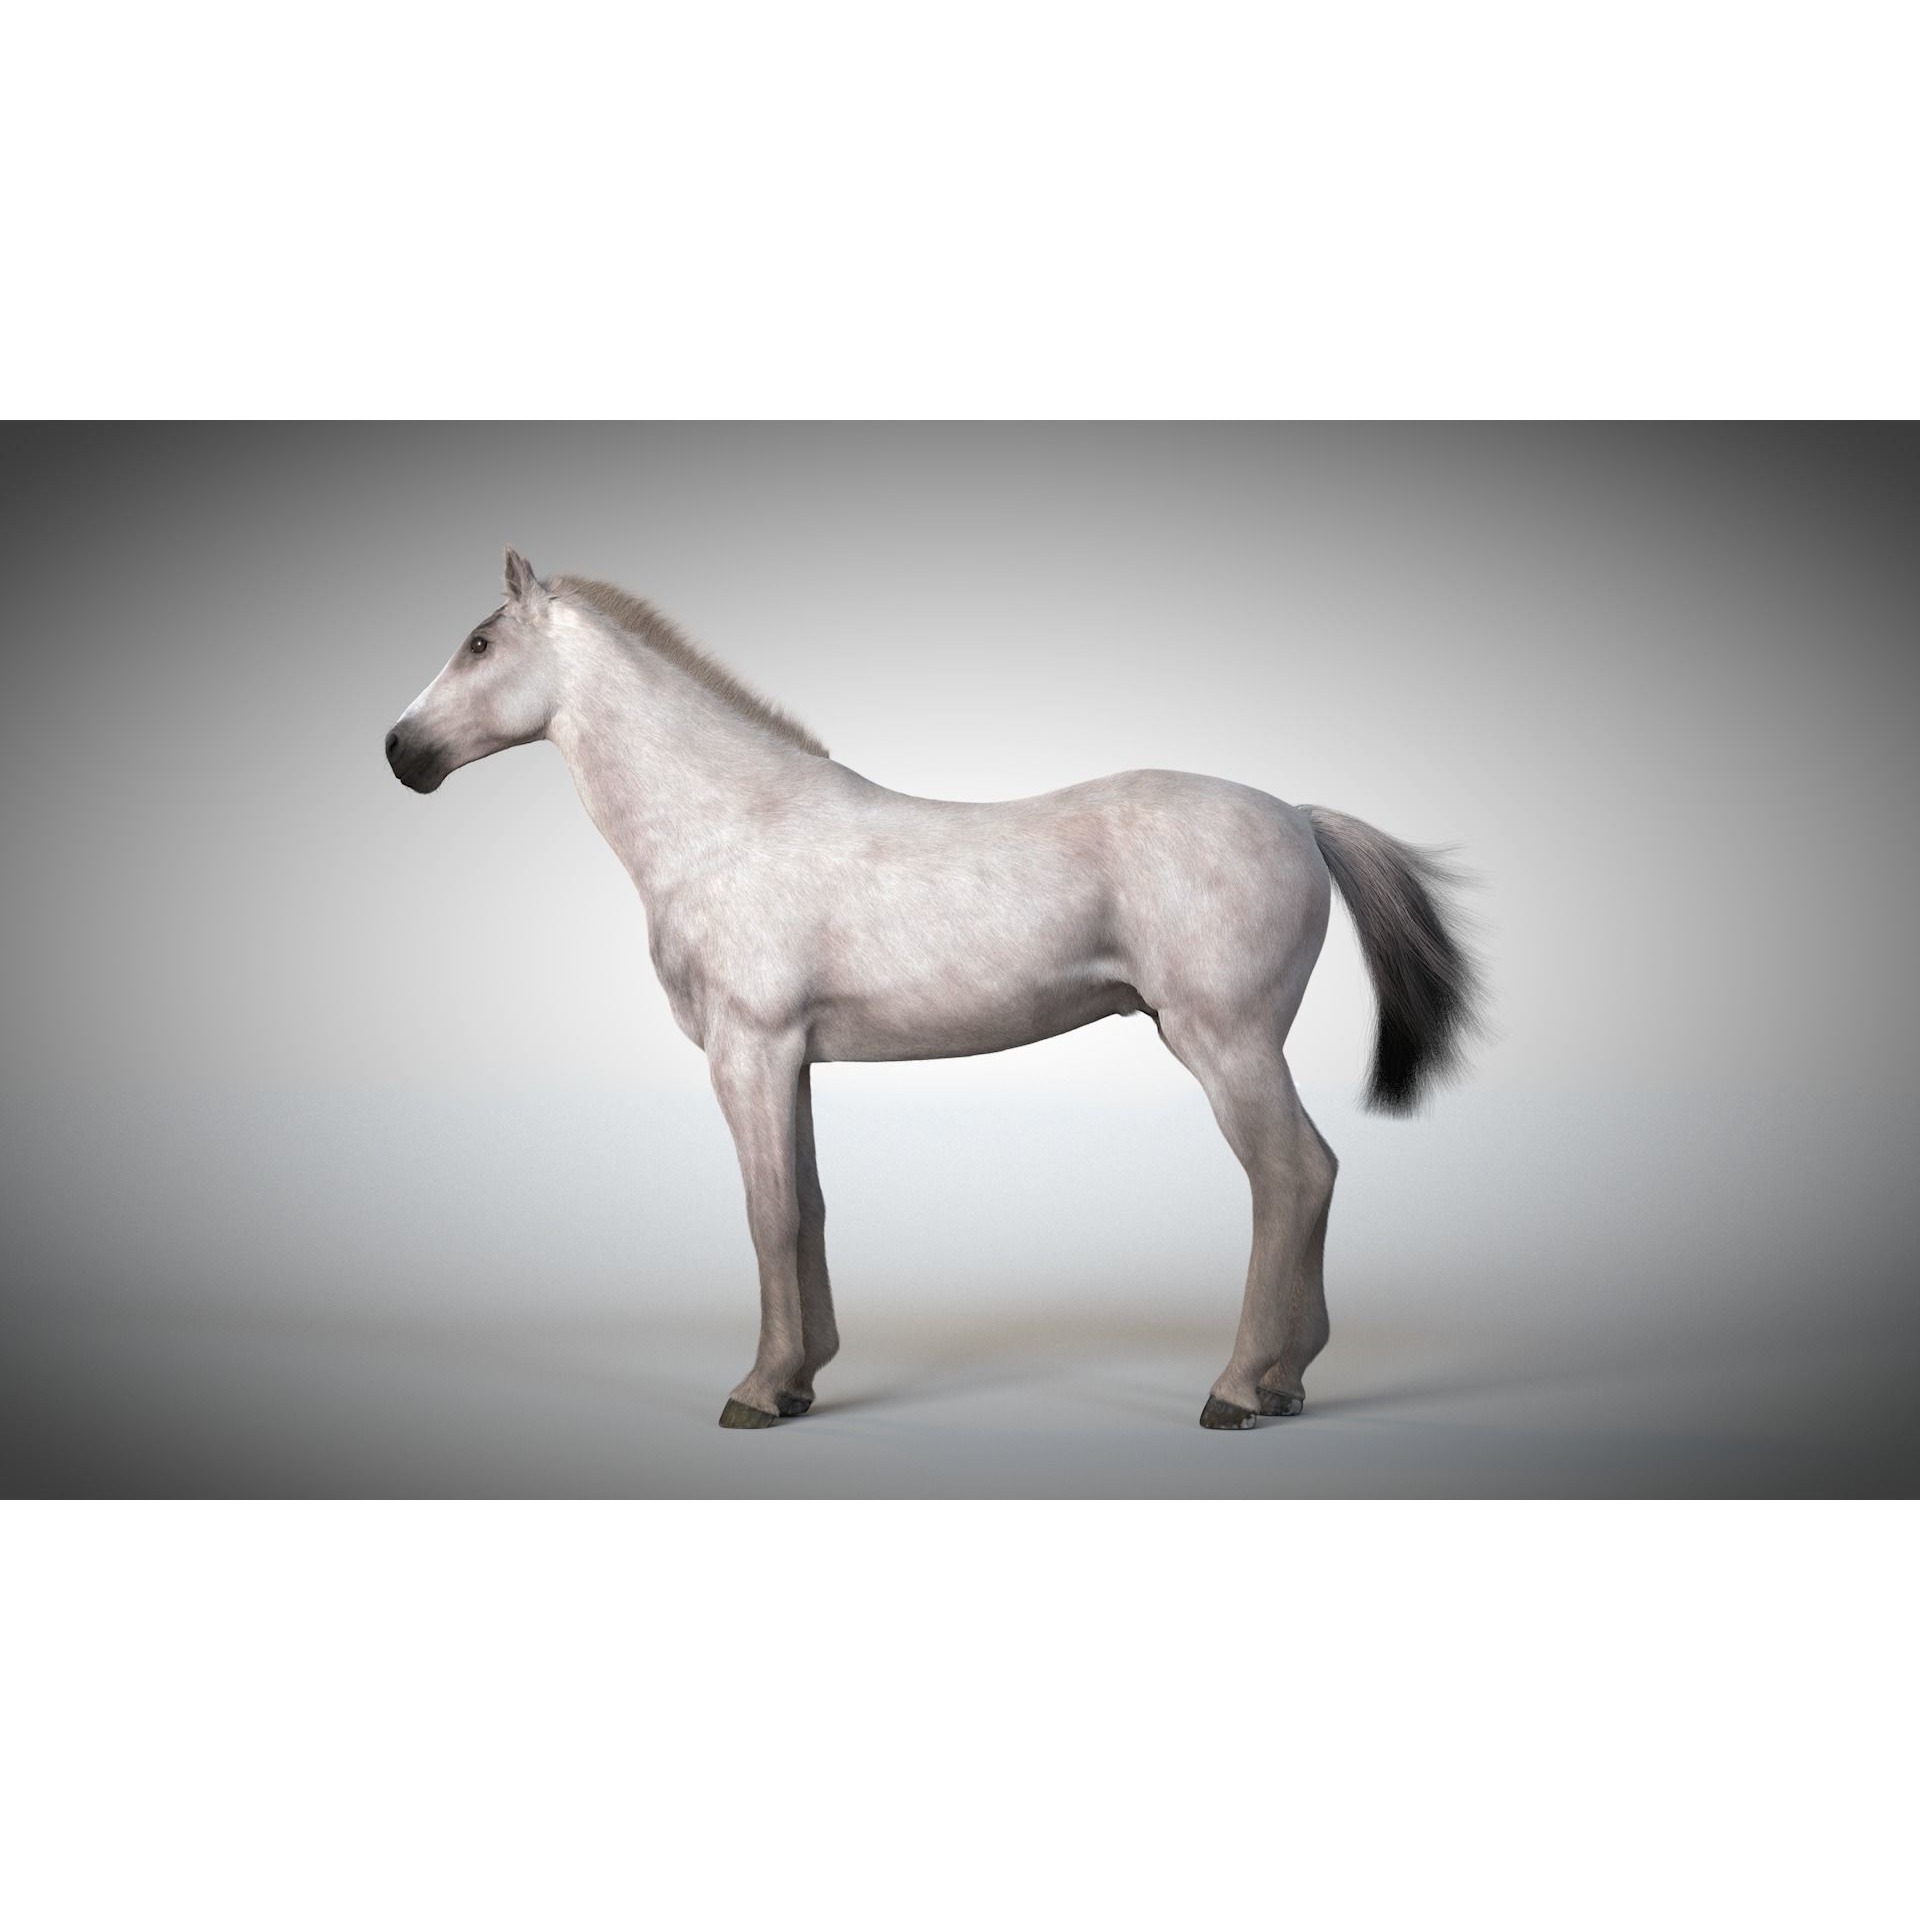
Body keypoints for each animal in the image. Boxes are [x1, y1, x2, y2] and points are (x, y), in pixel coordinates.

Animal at [385, 551, 1482, 1430]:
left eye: (479, 643)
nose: (401, 753)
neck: (731, 825)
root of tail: (1298, 817)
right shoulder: (792, 1061)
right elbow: (809, 1206)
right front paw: (803, 1378)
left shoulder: (749, 1049)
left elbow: (766, 1214)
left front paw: (758, 1391)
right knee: (1312, 1175)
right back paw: (1288, 1382)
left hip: (1227, 1042)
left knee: (1291, 1179)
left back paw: (1242, 1389)